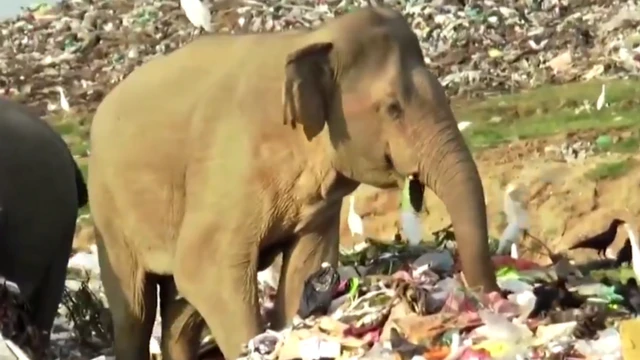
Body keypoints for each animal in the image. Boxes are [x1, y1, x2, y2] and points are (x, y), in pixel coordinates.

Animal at [89, 6, 500, 360]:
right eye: (393, 109)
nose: (489, 301)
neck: (311, 39)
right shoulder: (230, 170)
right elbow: (204, 269)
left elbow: (306, 265)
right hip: (108, 210)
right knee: (137, 310)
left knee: (180, 311)